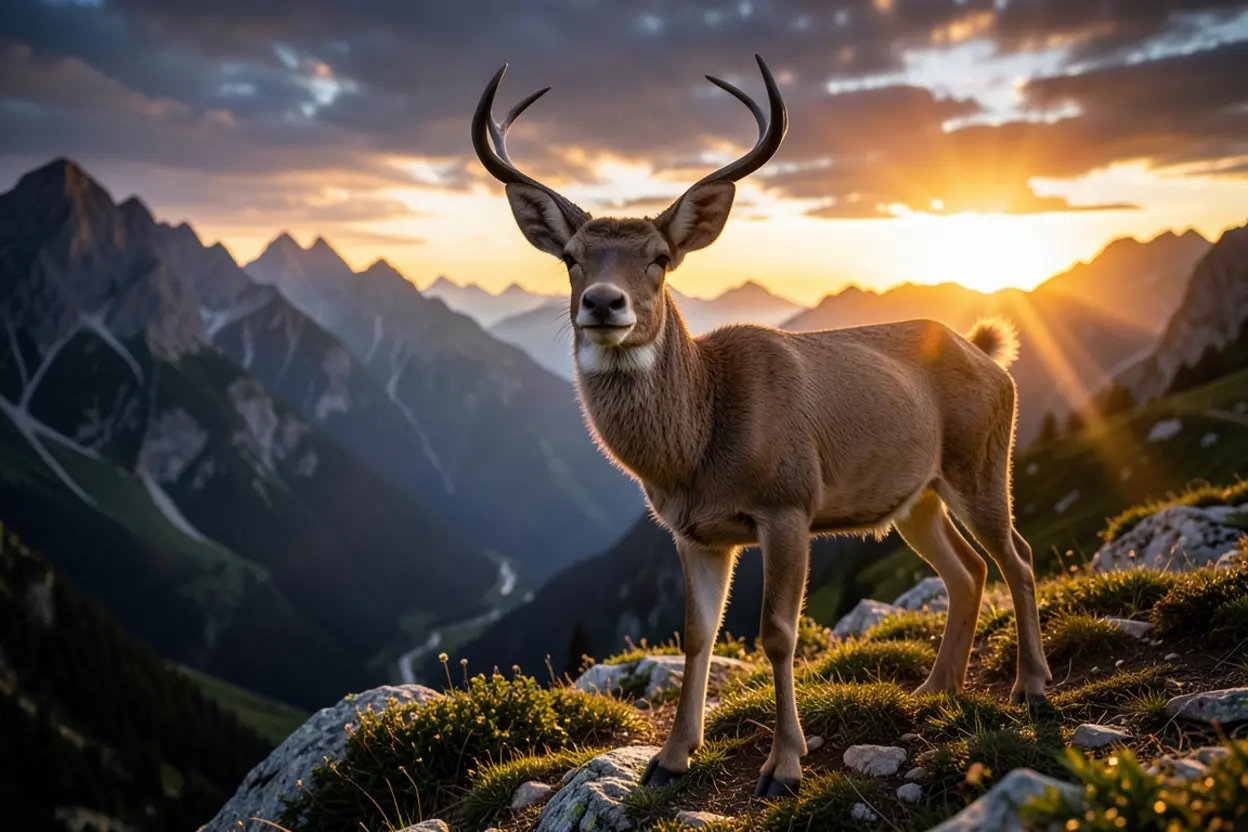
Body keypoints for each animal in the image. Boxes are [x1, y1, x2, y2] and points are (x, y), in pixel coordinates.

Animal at [471, 54, 1052, 798]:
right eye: (571, 257)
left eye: (659, 257)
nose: (603, 303)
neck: (696, 454)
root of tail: (989, 354)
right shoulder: (693, 533)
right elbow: (697, 634)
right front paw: (670, 758)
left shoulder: (789, 503)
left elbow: (778, 632)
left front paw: (784, 766)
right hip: (916, 496)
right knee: (968, 569)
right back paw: (936, 688)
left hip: (980, 460)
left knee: (1018, 557)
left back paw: (1031, 687)